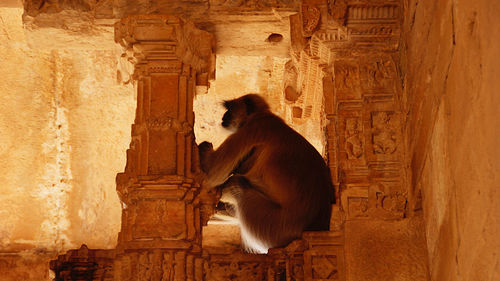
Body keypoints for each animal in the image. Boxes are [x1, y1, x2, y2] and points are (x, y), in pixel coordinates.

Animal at [197, 94, 334, 254]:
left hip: (275, 228)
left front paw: (203, 147)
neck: (261, 116)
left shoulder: (252, 128)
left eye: (230, 110)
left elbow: (213, 171)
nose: (224, 116)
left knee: (237, 185)